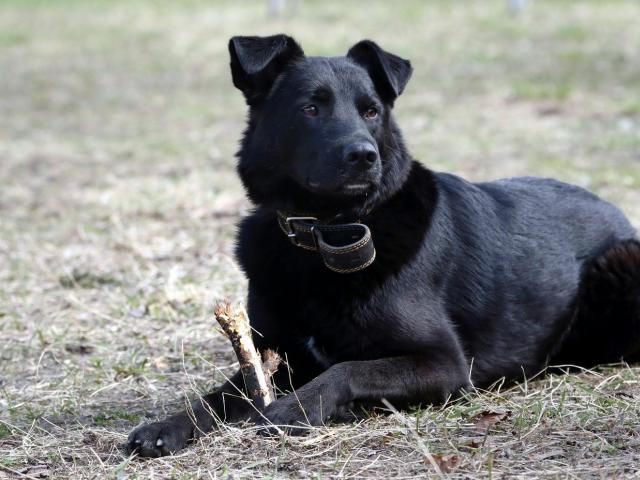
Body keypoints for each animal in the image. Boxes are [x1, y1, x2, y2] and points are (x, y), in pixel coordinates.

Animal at [126, 34, 640, 458]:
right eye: (310, 109)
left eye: (371, 111)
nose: (363, 156)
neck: (327, 233)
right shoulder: (273, 354)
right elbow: (216, 396)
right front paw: (166, 425)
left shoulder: (445, 364)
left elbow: (349, 369)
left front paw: (294, 409)